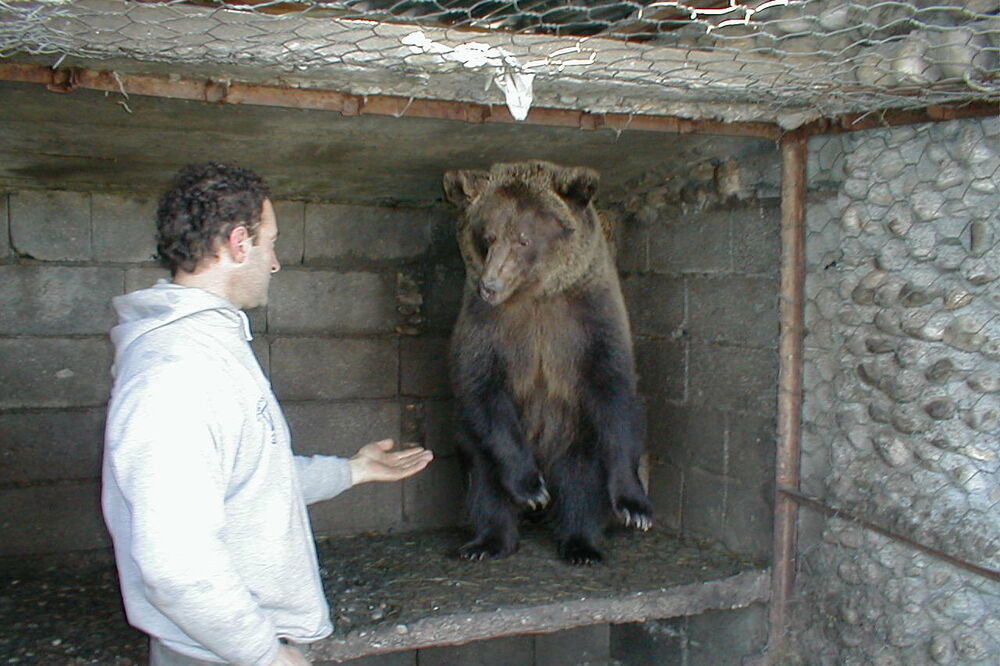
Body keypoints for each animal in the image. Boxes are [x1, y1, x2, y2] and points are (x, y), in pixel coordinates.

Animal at [444, 158, 648, 564]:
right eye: (488, 236)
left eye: (523, 238)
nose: (490, 286)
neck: (535, 295)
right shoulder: (486, 326)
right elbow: (482, 388)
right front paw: (531, 489)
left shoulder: (589, 319)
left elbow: (614, 392)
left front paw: (635, 507)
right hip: (476, 441)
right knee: (483, 479)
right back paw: (487, 542)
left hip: (575, 432)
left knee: (582, 480)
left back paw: (581, 544)